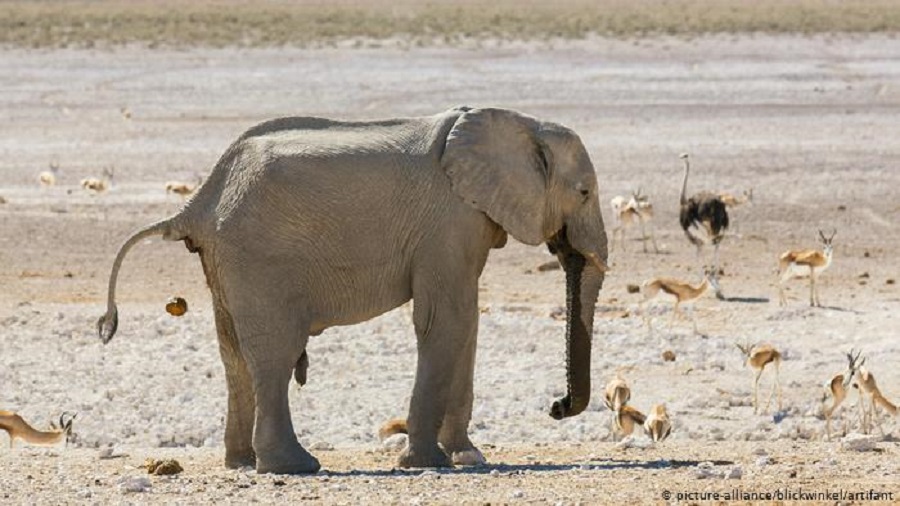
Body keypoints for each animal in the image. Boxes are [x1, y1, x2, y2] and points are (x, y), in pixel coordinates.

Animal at [98, 105, 608, 474]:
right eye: (584, 192)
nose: (556, 406)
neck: (519, 123)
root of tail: (198, 203)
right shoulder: (448, 222)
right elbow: (444, 320)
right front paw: (427, 463)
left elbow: (467, 323)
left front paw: (468, 456)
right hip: (258, 259)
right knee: (275, 353)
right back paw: (294, 466)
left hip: (224, 262)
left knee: (234, 356)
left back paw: (241, 464)